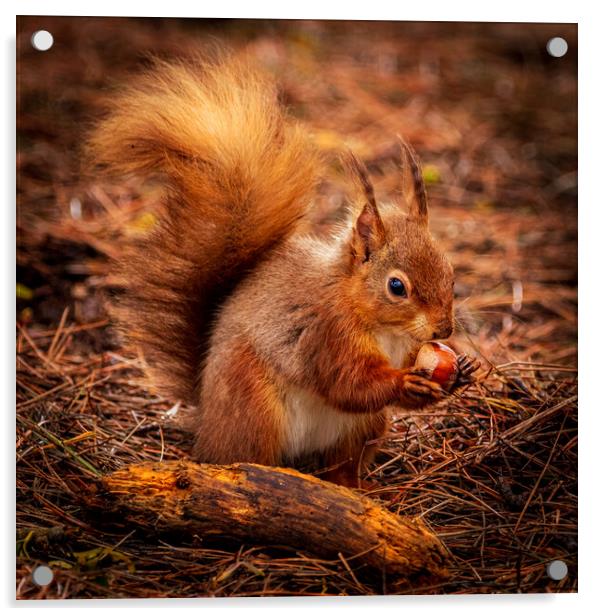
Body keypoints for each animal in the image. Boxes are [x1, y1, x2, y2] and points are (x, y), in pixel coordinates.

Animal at [86, 57, 476, 490]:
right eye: (396, 286)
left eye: (451, 273)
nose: (444, 329)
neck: (382, 327)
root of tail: (206, 421)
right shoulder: (327, 335)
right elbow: (347, 384)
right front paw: (404, 381)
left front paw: (458, 373)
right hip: (254, 409)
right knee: (250, 456)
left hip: (363, 428)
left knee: (342, 466)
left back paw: (361, 489)